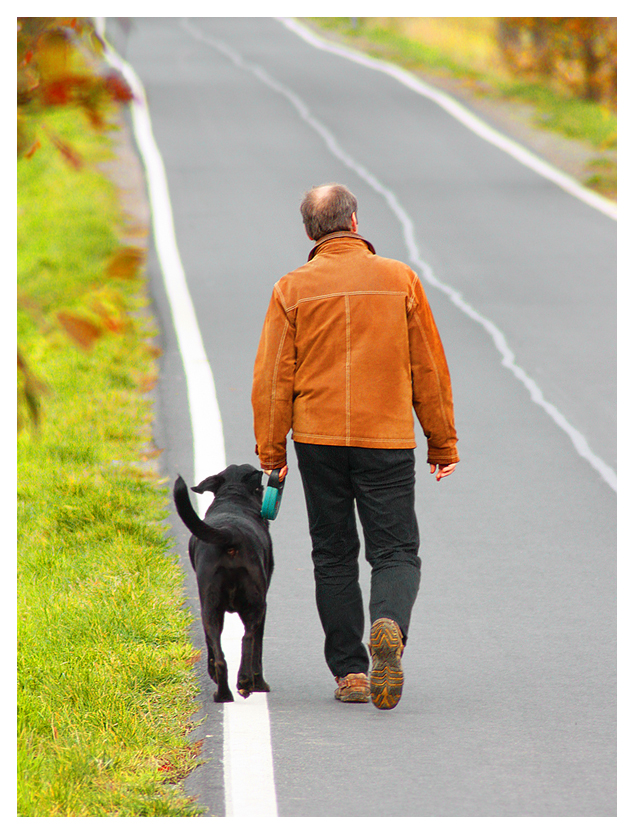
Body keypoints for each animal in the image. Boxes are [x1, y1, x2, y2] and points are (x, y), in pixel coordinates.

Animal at [173, 466, 274, 704]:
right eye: (261, 487)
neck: (233, 498)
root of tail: (230, 532)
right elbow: (258, 649)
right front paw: (260, 684)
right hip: (256, 605)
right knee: (248, 639)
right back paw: (245, 682)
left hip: (210, 608)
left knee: (219, 656)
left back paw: (223, 693)